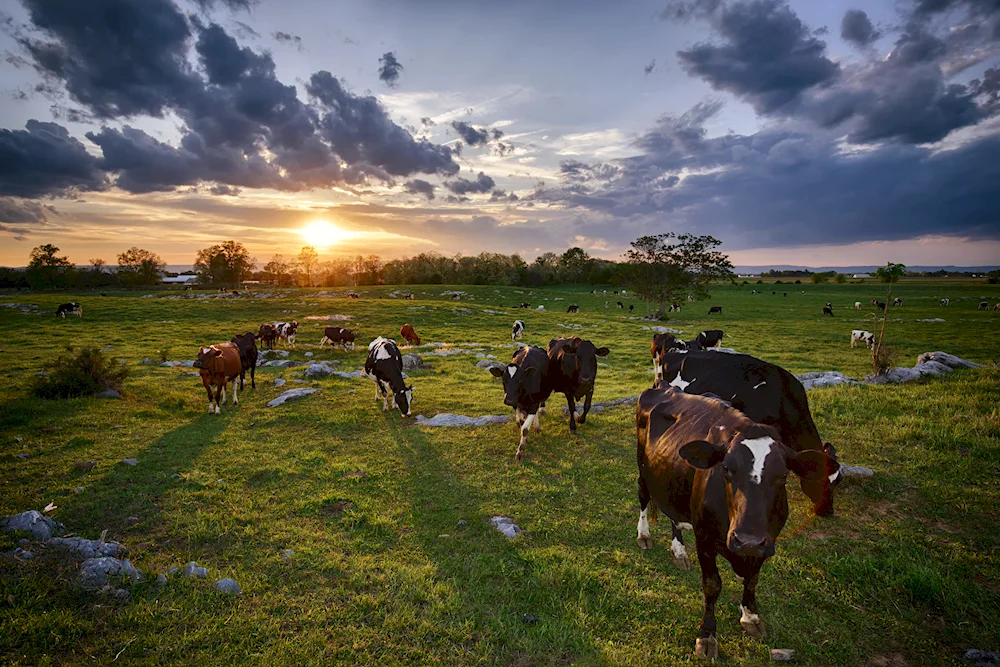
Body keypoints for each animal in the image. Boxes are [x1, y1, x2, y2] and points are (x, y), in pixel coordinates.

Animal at [636, 384, 840, 660]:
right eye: (726, 469)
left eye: (783, 475)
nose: (747, 540)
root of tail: (664, 386)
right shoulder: (704, 537)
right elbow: (712, 585)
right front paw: (707, 636)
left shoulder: (768, 540)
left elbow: (752, 580)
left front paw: (751, 617)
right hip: (642, 468)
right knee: (643, 497)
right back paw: (644, 535)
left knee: (675, 516)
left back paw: (679, 552)